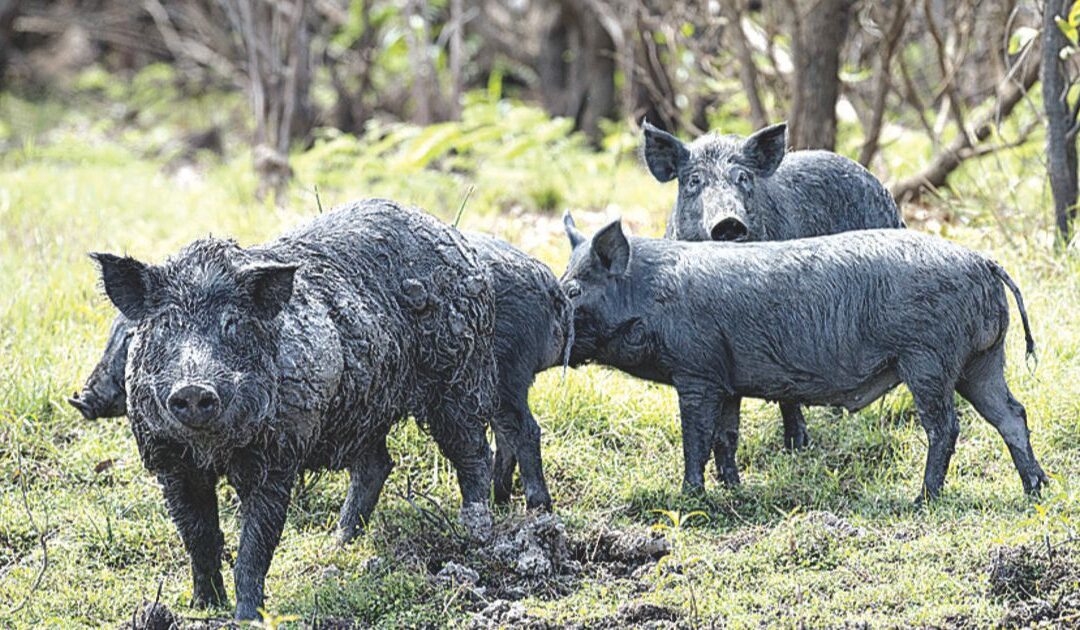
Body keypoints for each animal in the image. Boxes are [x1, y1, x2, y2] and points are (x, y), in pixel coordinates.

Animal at [72, 231, 571, 514]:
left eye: (129, 339)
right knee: (385, 462)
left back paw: (529, 510)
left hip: (491, 379)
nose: (81, 398)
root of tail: (548, 282)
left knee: (518, 431)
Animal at [82, 198, 499, 620]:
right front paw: (203, 607)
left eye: (232, 323)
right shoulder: (169, 461)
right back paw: (339, 543)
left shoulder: (278, 455)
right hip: (365, 408)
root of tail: (453, 236)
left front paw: (247, 618)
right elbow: (198, 538)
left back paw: (476, 532)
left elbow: (255, 546)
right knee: (377, 464)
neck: (212, 449)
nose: (194, 388)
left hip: (457, 376)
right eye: (166, 323)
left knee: (473, 451)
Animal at [560, 213, 1047, 502]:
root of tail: (984, 262)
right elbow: (725, 438)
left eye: (573, 289)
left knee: (946, 426)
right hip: (981, 361)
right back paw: (1037, 489)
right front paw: (734, 490)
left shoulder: (696, 371)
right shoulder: (726, 380)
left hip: (928, 360)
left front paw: (689, 497)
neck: (649, 297)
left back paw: (922, 499)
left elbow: (695, 438)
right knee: (1012, 413)